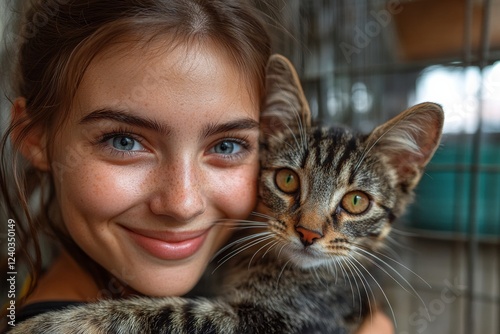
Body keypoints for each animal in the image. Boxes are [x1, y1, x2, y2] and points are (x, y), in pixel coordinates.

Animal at [10, 55, 442, 334]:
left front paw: (56, 322)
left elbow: (172, 313)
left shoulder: (281, 321)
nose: (308, 233)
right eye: (287, 180)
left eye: (356, 202)